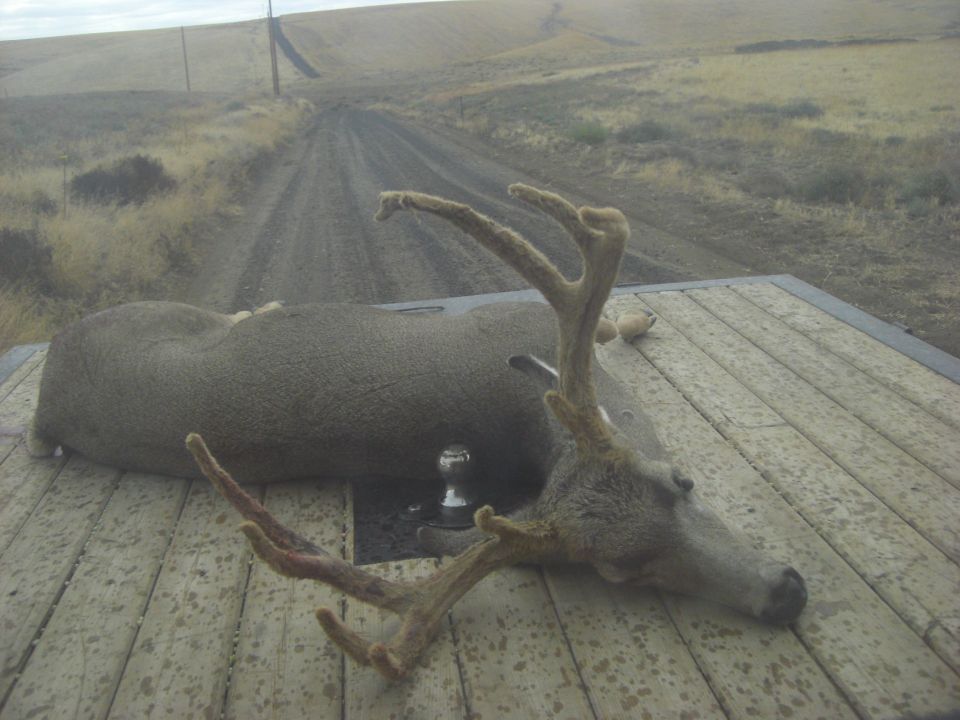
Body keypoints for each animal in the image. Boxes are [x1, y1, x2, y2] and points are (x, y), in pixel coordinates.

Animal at [28, 184, 807, 680]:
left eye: (682, 482)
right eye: (624, 573)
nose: (786, 593)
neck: (529, 404)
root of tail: (44, 399)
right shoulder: (518, 313)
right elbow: (616, 323)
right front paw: (643, 318)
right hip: (166, 311)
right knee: (235, 314)